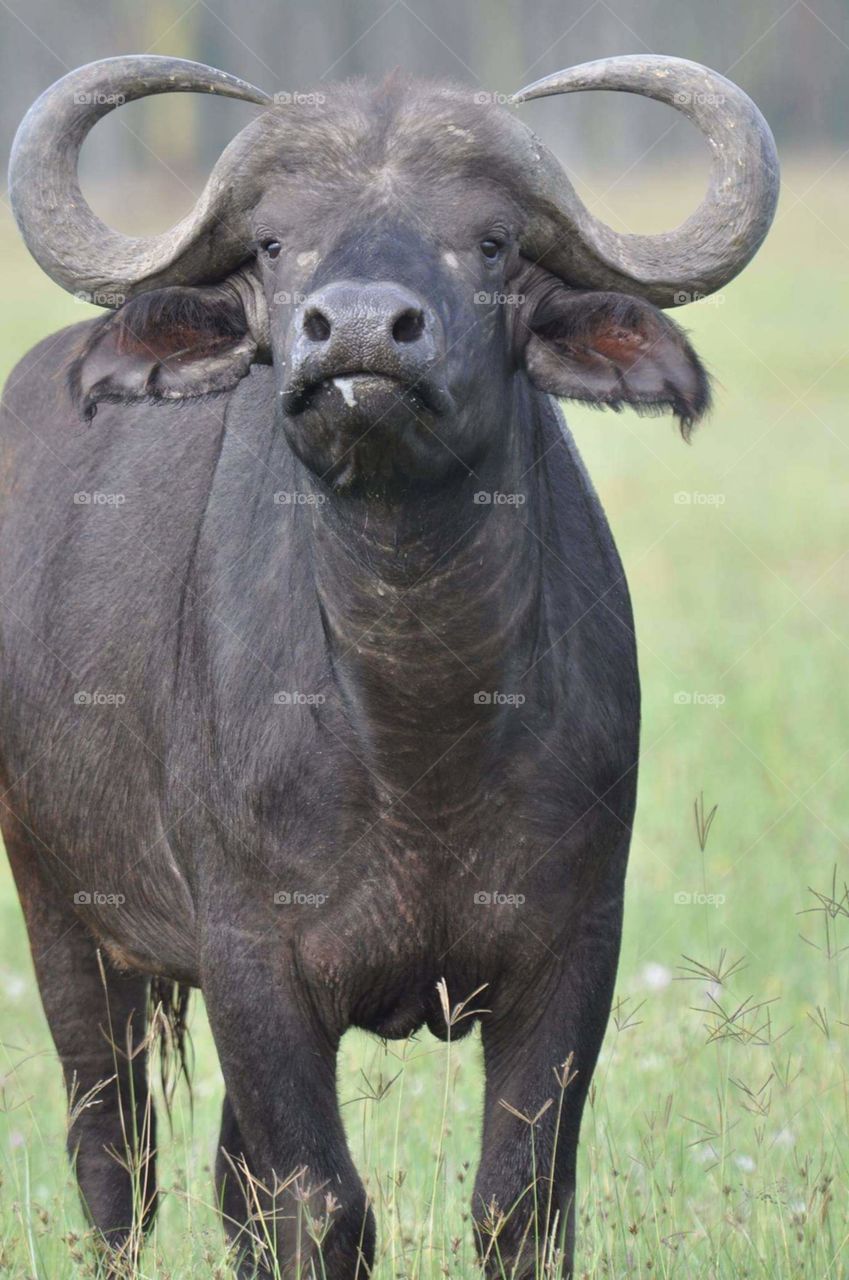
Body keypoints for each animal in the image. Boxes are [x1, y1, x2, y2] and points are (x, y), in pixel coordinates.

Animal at [0, 53, 778, 1278]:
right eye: (275, 243)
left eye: (493, 241)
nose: (360, 332)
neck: (418, 721)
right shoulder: (253, 962)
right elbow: (319, 1205)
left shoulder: (574, 949)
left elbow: (517, 1201)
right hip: (63, 910)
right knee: (114, 1160)